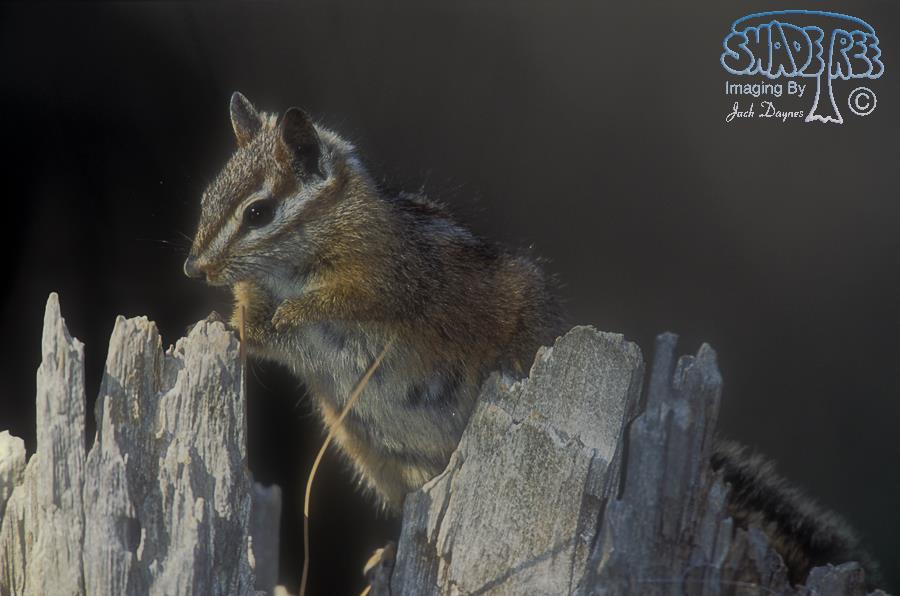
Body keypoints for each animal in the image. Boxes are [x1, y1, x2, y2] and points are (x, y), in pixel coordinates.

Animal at [184, 93, 878, 588]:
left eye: (258, 212)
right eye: (207, 196)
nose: (195, 269)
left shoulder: (388, 276)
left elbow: (350, 301)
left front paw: (291, 310)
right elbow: (259, 334)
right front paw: (231, 324)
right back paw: (386, 553)